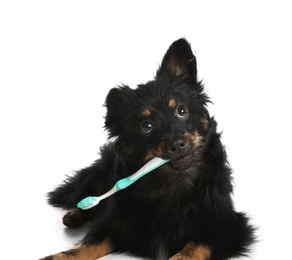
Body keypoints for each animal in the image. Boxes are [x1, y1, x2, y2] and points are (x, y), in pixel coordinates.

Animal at [41, 38, 256, 260]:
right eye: (146, 126)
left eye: (182, 111)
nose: (177, 144)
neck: (174, 183)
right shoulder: (115, 225)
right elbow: (85, 246)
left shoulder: (226, 227)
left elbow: (193, 247)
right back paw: (75, 213)